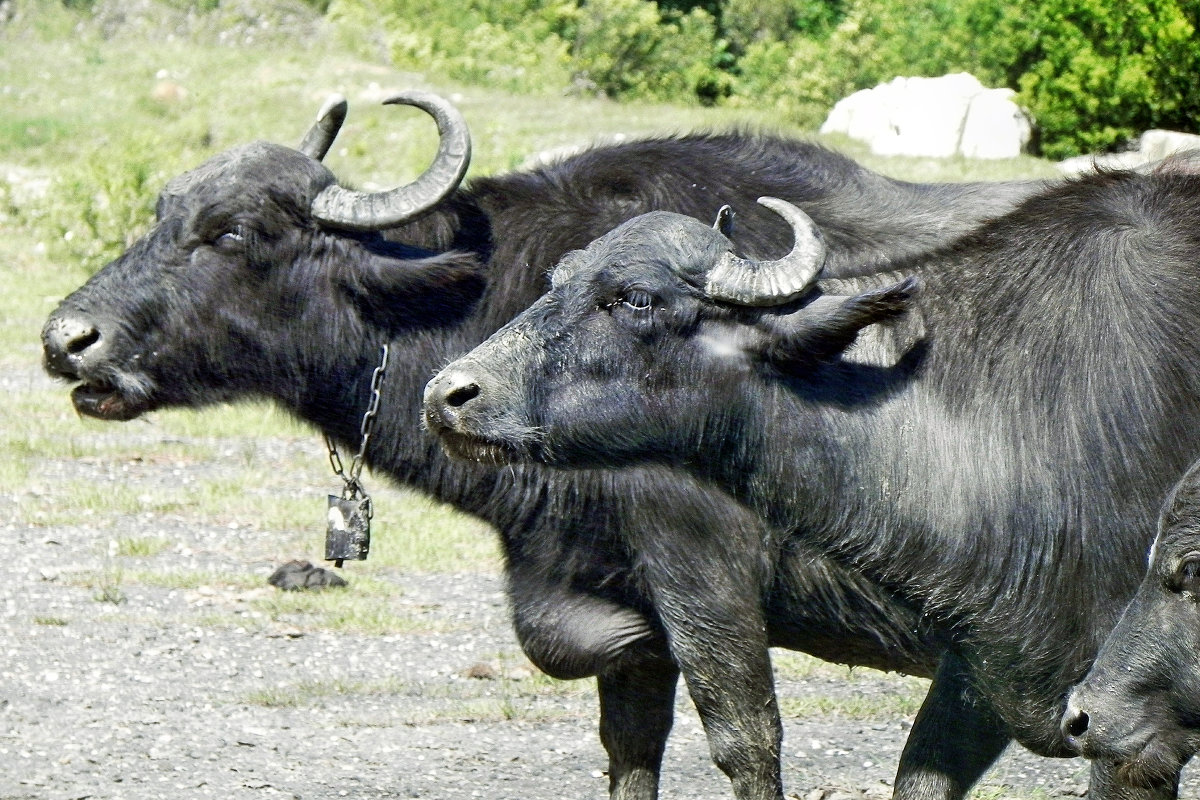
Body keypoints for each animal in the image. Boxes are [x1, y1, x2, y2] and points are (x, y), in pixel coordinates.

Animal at [42, 89, 1046, 800]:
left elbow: (746, 742)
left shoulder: (705, 573)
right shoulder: (622, 614)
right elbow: (628, 745)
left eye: (235, 233)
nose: (66, 339)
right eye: (164, 210)